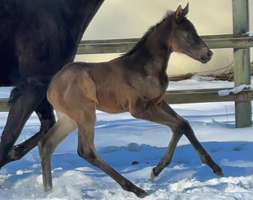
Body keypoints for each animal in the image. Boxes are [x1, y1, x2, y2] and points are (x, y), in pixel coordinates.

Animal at [37, 3, 223, 198]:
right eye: (188, 34)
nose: (208, 54)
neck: (145, 68)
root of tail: (50, 88)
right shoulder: (139, 108)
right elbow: (178, 125)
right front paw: (156, 170)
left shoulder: (158, 102)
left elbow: (185, 124)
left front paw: (216, 168)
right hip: (85, 115)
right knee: (86, 151)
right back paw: (136, 189)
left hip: (68, 120)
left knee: (45, 145)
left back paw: (48, 191)